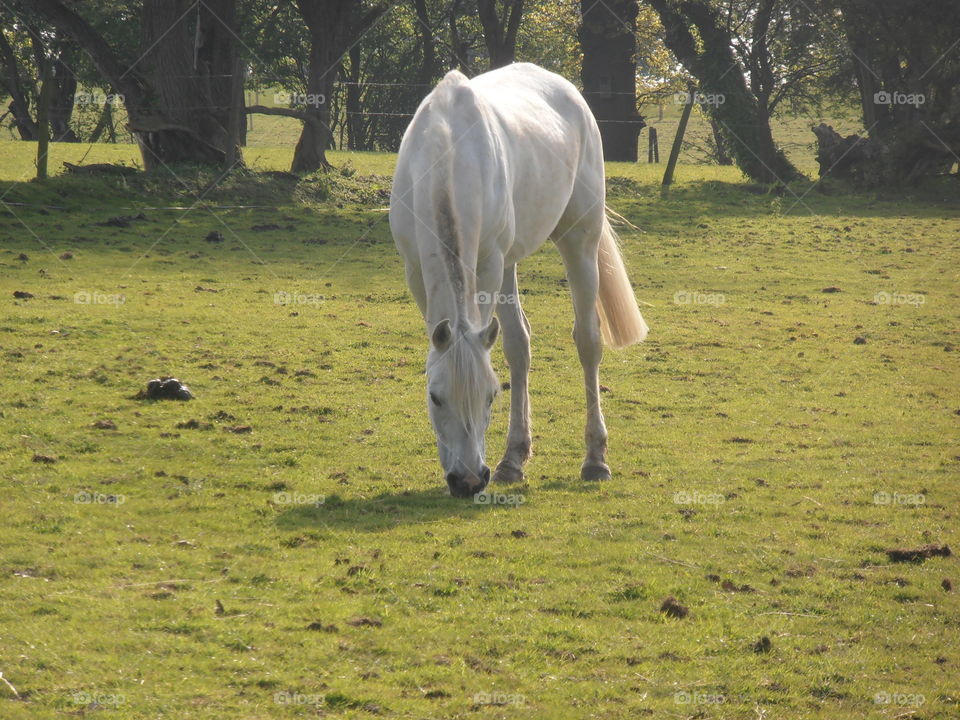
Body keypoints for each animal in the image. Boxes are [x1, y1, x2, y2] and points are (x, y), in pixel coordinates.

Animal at [392, 63, 652, 496]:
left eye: (491, 396)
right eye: (435, 397)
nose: (468, 480)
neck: (446, 154)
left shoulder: (488, 264)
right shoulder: (415, 270)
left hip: (578, 241)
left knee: (587, 341)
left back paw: (594, 459)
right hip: (509, 264)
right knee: (519, 344)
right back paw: (514, 458)